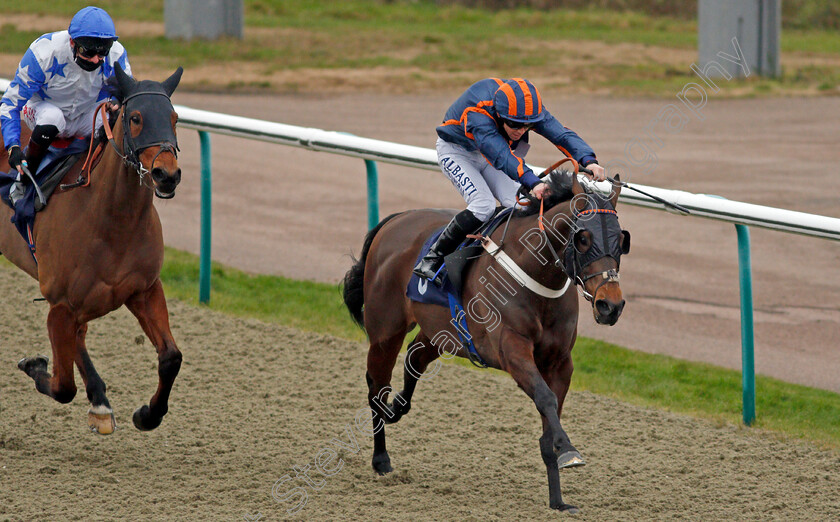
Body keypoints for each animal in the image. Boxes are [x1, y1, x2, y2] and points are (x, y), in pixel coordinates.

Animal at [0, 63, 184, 432]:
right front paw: (33, 364)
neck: (112, 219)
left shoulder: (144, 289)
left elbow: (171, 357)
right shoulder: (60, 305)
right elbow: (62, 386)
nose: (166, 174)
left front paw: (147, 414)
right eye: (136, 118)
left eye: (174, 118)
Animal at [342, 169, 632, 510]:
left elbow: (550, 414)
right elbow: (545, 398)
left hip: (443, 332)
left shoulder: (560, 361)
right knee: (377, 386)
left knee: (414, 356)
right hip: (386, 329)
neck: (536, 275)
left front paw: (558, 499)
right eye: (583, 238)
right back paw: (381, 459)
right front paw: (569, 451)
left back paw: (398, 408)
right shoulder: (512, 350)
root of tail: (396, 219)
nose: (610, 305)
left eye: (621, 240)